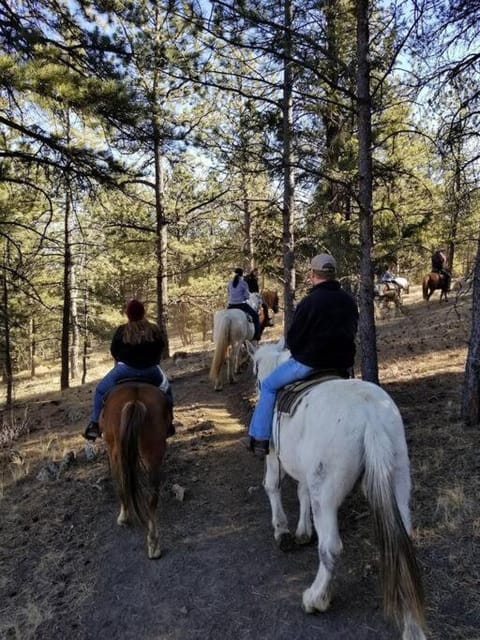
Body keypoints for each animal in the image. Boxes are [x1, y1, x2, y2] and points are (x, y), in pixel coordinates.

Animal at [99, 382, 171, 556]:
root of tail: (135, 400)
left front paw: (123, 518)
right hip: (154, 452)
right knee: (152, 496)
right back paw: (153, 543)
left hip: (116, 451)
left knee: (121, 483)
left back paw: (125, 517)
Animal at [249, 342, 426, 640]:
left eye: (253, 369)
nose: (257, 386)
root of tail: (370, 415)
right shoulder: (306, 472)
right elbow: (302, 493)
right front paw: (303, 531)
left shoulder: (274, 456)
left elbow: (272, 486)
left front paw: (282, 532)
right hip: (398, 478)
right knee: (402, 542)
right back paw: (412, 626)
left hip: (327, 493)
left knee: (330, 548)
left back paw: (315, 598)